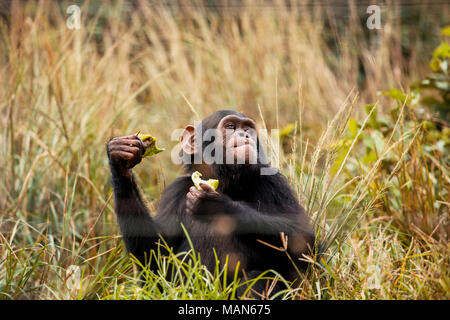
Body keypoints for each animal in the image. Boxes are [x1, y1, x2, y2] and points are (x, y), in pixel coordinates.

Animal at [107, 109, 314, 298]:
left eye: (248, 128)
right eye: (231, 127)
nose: (245, 135)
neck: (226, 182)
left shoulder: (275, 183)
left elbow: (303, 242)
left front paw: (216, 206)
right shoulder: (175, 193)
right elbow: (155, 257)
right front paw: (121, 159)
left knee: (258, 280)